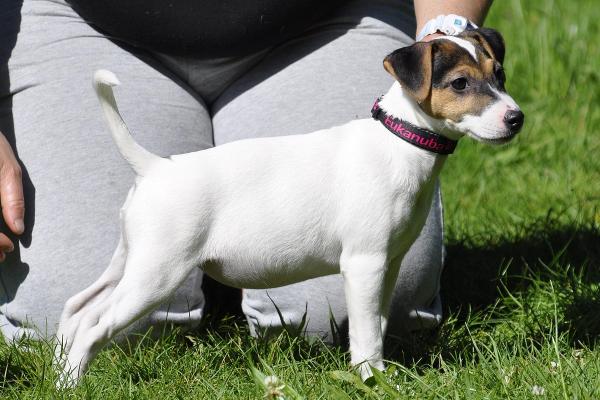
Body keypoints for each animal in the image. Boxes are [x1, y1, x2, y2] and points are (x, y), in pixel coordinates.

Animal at [56, 28, 524, 384]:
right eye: (460, 83)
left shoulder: (387, 265)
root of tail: (154, 166)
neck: (399, 141)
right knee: (94, 326)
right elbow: (367, 335)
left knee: (78, 308)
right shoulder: (364, 264)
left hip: (131, 260)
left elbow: (377, 322)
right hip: (157, 274)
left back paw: (59, 373)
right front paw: (372, 380)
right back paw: (73, 384)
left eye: (499, 74)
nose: (516, 118)